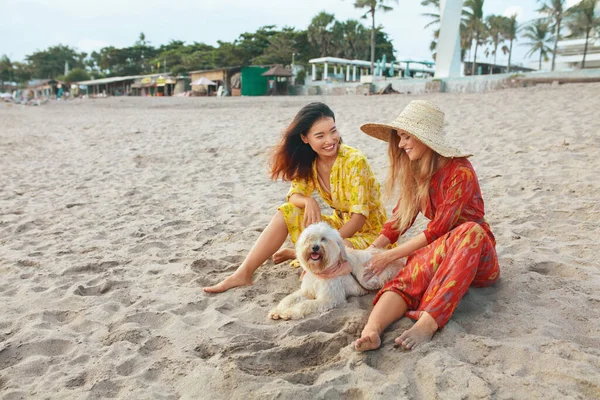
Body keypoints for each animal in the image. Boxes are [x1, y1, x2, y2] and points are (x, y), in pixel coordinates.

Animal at [270, 223, 404, 320]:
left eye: (324, 239)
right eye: (309, 238)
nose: (315, 247)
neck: (321, 270)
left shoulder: (329, 299)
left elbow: (305, 304)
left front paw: (290, 312)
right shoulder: (307, 291)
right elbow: (289, 298)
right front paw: (277, 310)